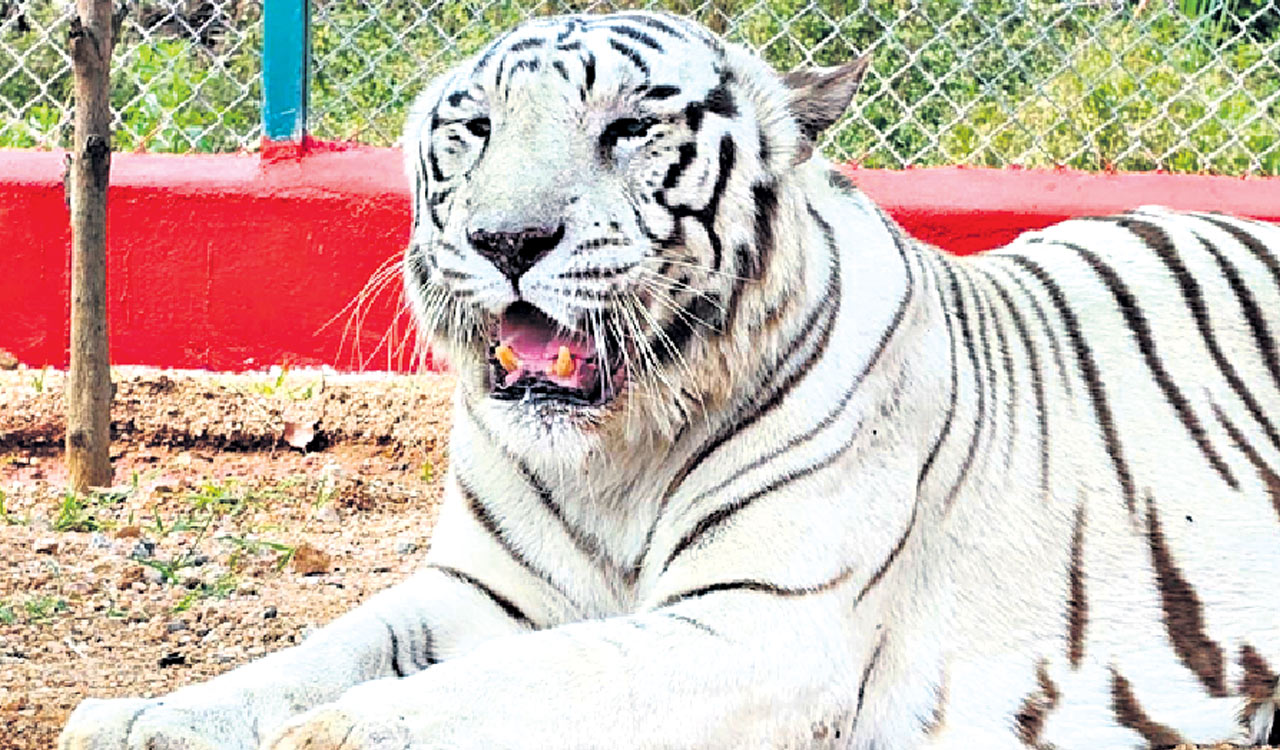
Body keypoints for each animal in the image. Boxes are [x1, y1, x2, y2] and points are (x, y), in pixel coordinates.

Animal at [59, 10, 1280, 750]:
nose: (507, 239)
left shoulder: (767, 626)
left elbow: (525, 681)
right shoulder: (481, 593)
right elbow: (324, 651)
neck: (616, 456)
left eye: (628, 128)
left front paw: (339, 733)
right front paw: (143, 716)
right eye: (475, 128)